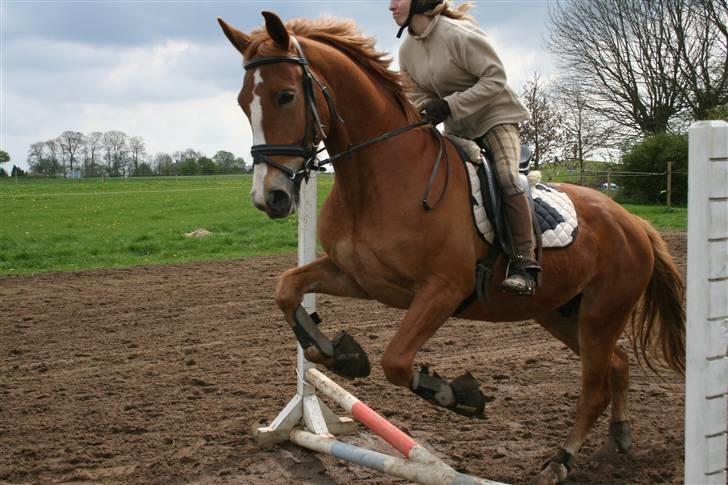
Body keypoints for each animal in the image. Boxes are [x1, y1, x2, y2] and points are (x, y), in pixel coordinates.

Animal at [219, 12, 684, 484]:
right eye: (241, 103)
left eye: (286, 95)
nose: (270, 198)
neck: (381, 177)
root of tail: (633, 222)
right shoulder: (356, 276)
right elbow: (287, 288)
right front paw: (336, 353)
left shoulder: (442, 290)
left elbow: (396, 361)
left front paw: (457, 395)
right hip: (560, 312)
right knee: (618, 365)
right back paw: (618, 438)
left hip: (600, 316)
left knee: (594, 389)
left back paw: (561, 460)